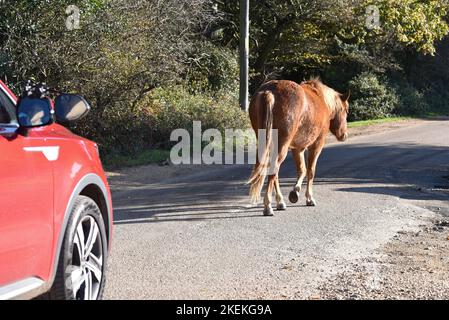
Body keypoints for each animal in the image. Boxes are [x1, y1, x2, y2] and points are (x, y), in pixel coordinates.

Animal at [247, 79, 348, 216]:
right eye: (346, 110)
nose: (344, 135)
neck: (321, 98)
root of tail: (269, 91)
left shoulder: (297, 148)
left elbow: (302, 170)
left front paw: (295, 192)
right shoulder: (316, 145)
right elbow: (310, 171)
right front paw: (308, 197)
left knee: (274, 171)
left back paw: (280, 202)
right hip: (282, 146)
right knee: (274, 169)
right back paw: (268, 206)